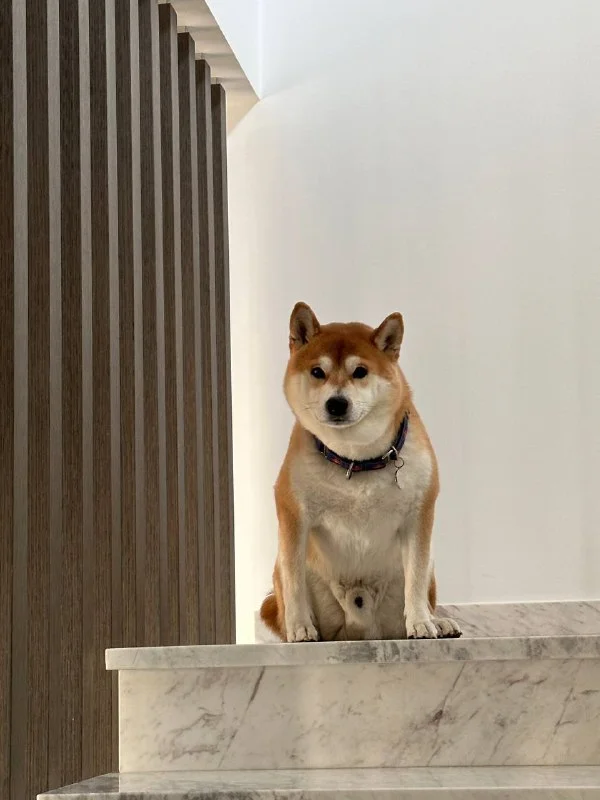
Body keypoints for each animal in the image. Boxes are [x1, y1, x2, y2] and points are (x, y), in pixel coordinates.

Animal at [260, 303, 461, 643]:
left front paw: (422, 622)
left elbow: (416, 578)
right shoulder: (293, 513)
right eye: (318, 372)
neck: (355, 459)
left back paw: (439, 622)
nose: (337, 403)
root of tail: (361, 627)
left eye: (360, 372)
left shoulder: (419, 515)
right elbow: (294, 580)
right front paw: (299, 626)